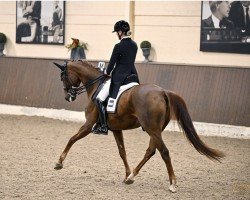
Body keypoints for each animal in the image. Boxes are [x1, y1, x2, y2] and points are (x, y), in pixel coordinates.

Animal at [53, 60, 225, 192]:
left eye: (62, 77)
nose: (68, 97)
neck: (96, 86)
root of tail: (163, 92)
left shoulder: (88, 125)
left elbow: (72, 139)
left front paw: (59, 163)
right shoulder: (116, 129)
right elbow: (122, 152)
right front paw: (126, 174)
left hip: (152, 129)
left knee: (164, 152)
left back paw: (172, 184)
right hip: (155, 130)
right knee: (151, 151)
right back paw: (131, 177)